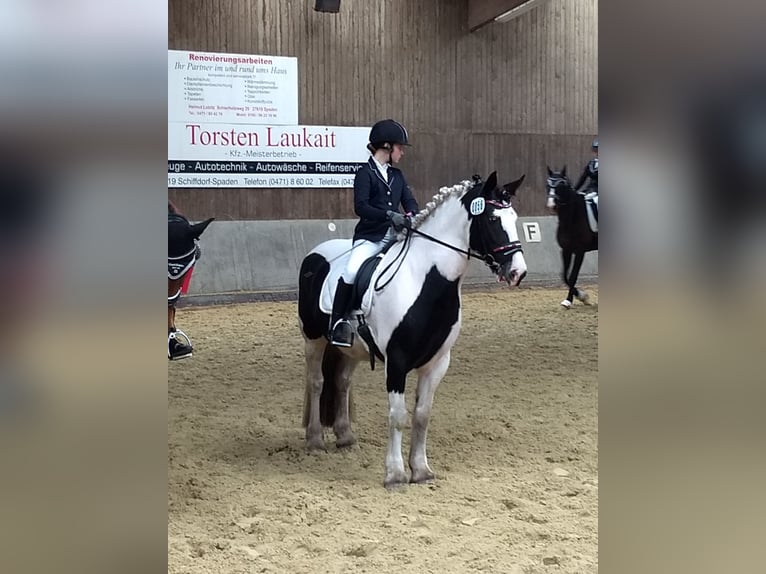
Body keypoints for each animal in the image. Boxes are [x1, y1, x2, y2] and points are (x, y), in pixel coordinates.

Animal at [298, 173, 528, 488]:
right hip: (313, 340)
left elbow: (422, 415)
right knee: (317, 382)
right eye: (493, 219)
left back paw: (345, 436)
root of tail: (316, 253)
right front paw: (395, 474)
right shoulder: (397, 362)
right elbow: (398, 416)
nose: (518, 272)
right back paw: (315, 440)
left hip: (350, 349)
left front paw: (421, 470)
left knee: (342, 382)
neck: (425, 280)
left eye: (514, 217)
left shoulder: (437, 363)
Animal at [544, 166, 600, 308]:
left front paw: (569, 300)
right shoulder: (566, 250)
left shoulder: (580, 252)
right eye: (547, 185)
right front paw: (582, 296)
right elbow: (565, 276)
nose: (551, 204)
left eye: (561, 186)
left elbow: (573, 276)